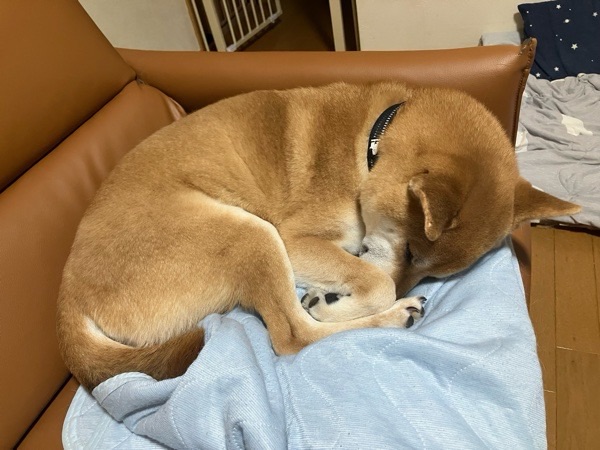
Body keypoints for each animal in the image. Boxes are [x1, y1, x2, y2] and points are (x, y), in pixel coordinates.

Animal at [57, 82, 579, 391]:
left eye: (433, 272)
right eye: (412, 251)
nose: (411, 289)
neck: (371, 141)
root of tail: (68, 297)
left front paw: (336, 293)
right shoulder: (296, 239)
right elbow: (376, 281)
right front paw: (347, 301)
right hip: (251, 234)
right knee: (294, 336)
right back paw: (380, 314)